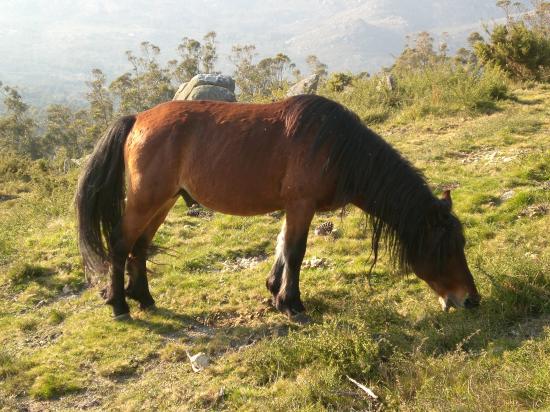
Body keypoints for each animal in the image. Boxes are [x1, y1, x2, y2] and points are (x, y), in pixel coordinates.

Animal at [75, 95, 480, 320]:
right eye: (444, 248)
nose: (471, 300)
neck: (337, 147)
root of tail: (137, 120)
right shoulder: (302, 204)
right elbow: (296, 251)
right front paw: (291, 303)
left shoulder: (294, 206)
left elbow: (284, 247)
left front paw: (274, 291)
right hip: (147, 201)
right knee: (121, 245)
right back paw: (120, 305)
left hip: (163, 201)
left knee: (140, 247)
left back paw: (143, 298)